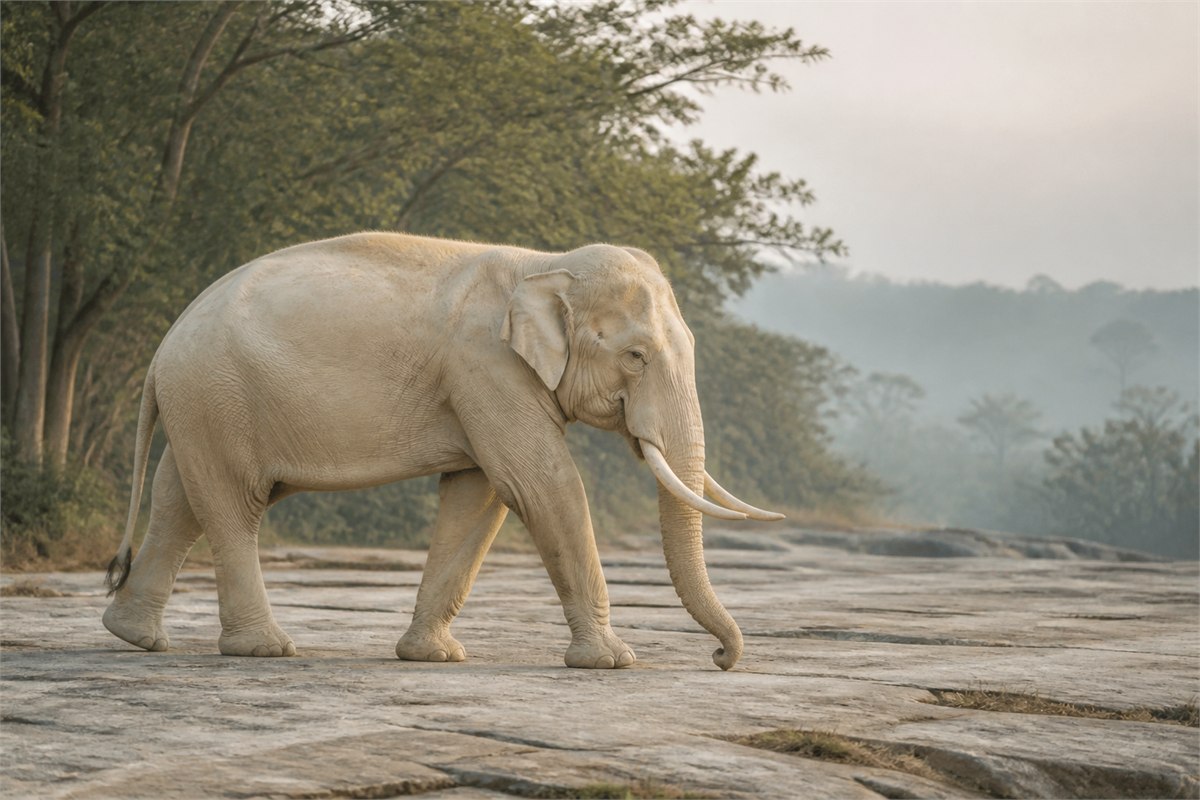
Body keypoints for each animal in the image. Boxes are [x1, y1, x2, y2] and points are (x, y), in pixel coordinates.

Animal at [102, 233, 783, 670]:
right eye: (636, 356)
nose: (720, 658)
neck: (546, 265)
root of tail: (162, 350)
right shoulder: (485, 365)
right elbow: (539, 484)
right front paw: (613, 663)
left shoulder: (480, 381)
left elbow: (477, 496)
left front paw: (432, 657)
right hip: (218, 392)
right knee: (233, 503)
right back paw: (264, 649)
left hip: (204, 401)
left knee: (179, 495)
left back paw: (134, 636)